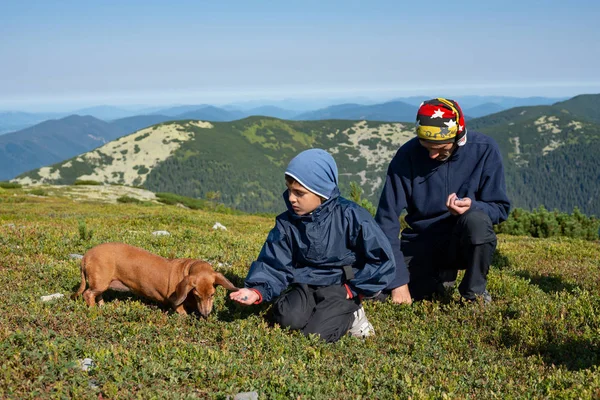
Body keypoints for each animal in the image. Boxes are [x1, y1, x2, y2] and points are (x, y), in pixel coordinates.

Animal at [71, 242, 237, 318]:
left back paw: (102, 306)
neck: (188, 268)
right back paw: (94, 310)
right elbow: (181, 310)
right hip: (100, 282)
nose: (206, 315)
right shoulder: (176, 302)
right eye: (197, 295)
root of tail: (86, 256)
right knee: (88, 294)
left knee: (97, 295)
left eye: (212, 294)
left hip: (102, 284)